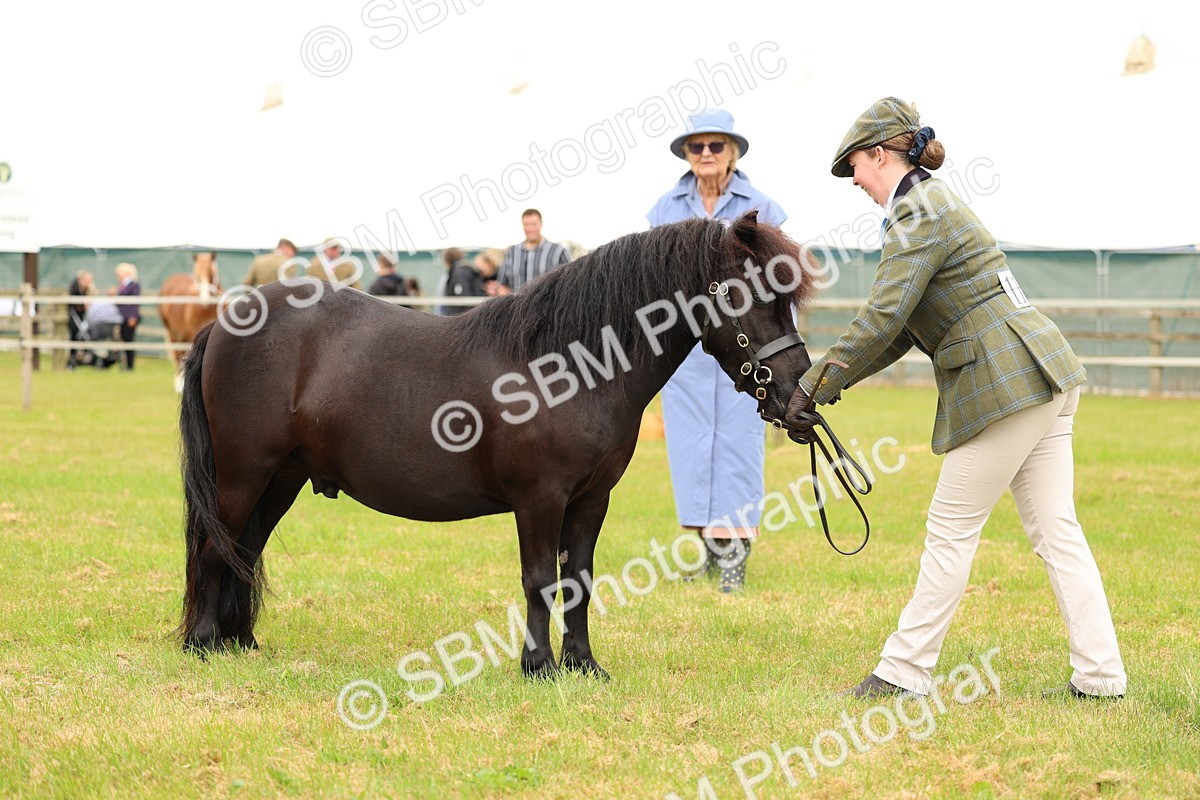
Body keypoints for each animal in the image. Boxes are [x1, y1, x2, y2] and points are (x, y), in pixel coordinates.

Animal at [178, 212, 821, 678]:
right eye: (747, 294)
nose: (799, 397)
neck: (567, 366)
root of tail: (225, 322)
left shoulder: (591, 500)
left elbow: (578, 577)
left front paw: (583, 665)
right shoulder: (540, 498)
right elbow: (539, 577)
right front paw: (538, 666)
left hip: (281, 479)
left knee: (244, 550)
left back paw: (241, 642)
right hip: (242, 474)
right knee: (215, 548)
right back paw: (205, 644)